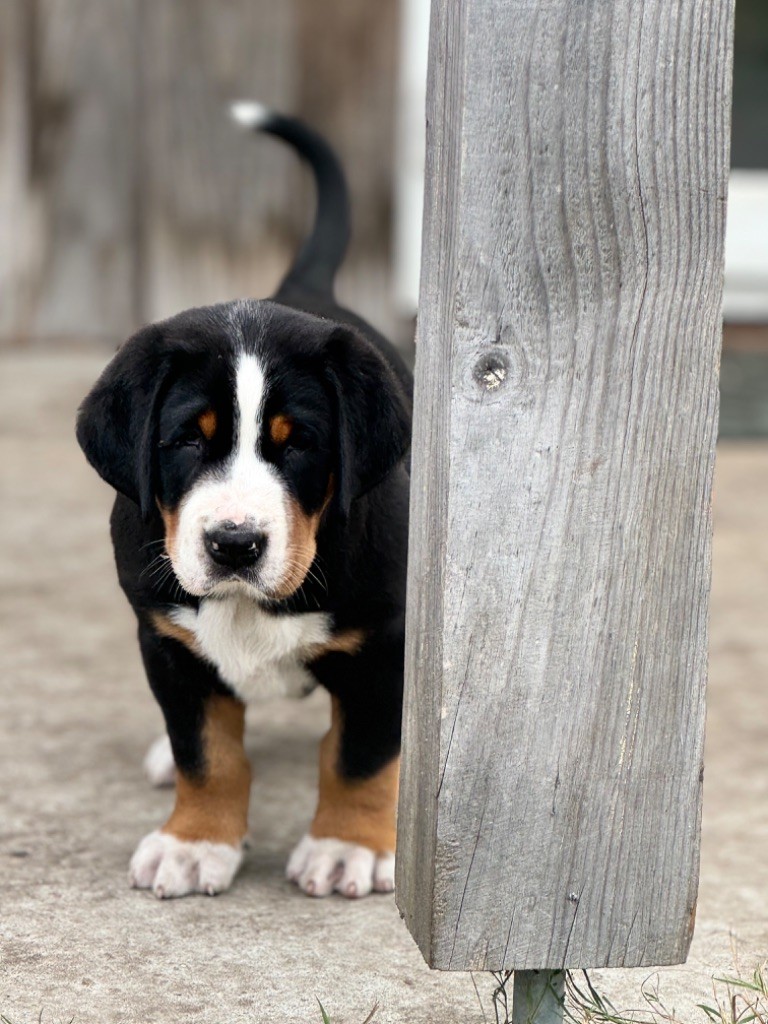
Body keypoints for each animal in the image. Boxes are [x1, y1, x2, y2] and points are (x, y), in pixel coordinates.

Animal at [76, 104, 412, 900]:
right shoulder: (165, 639)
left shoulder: (384, 640)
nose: (234, 544)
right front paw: (196, 843)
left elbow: (359, 754)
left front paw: (346, 847)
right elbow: (207, 751)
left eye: (299, 445)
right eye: (188, 441)